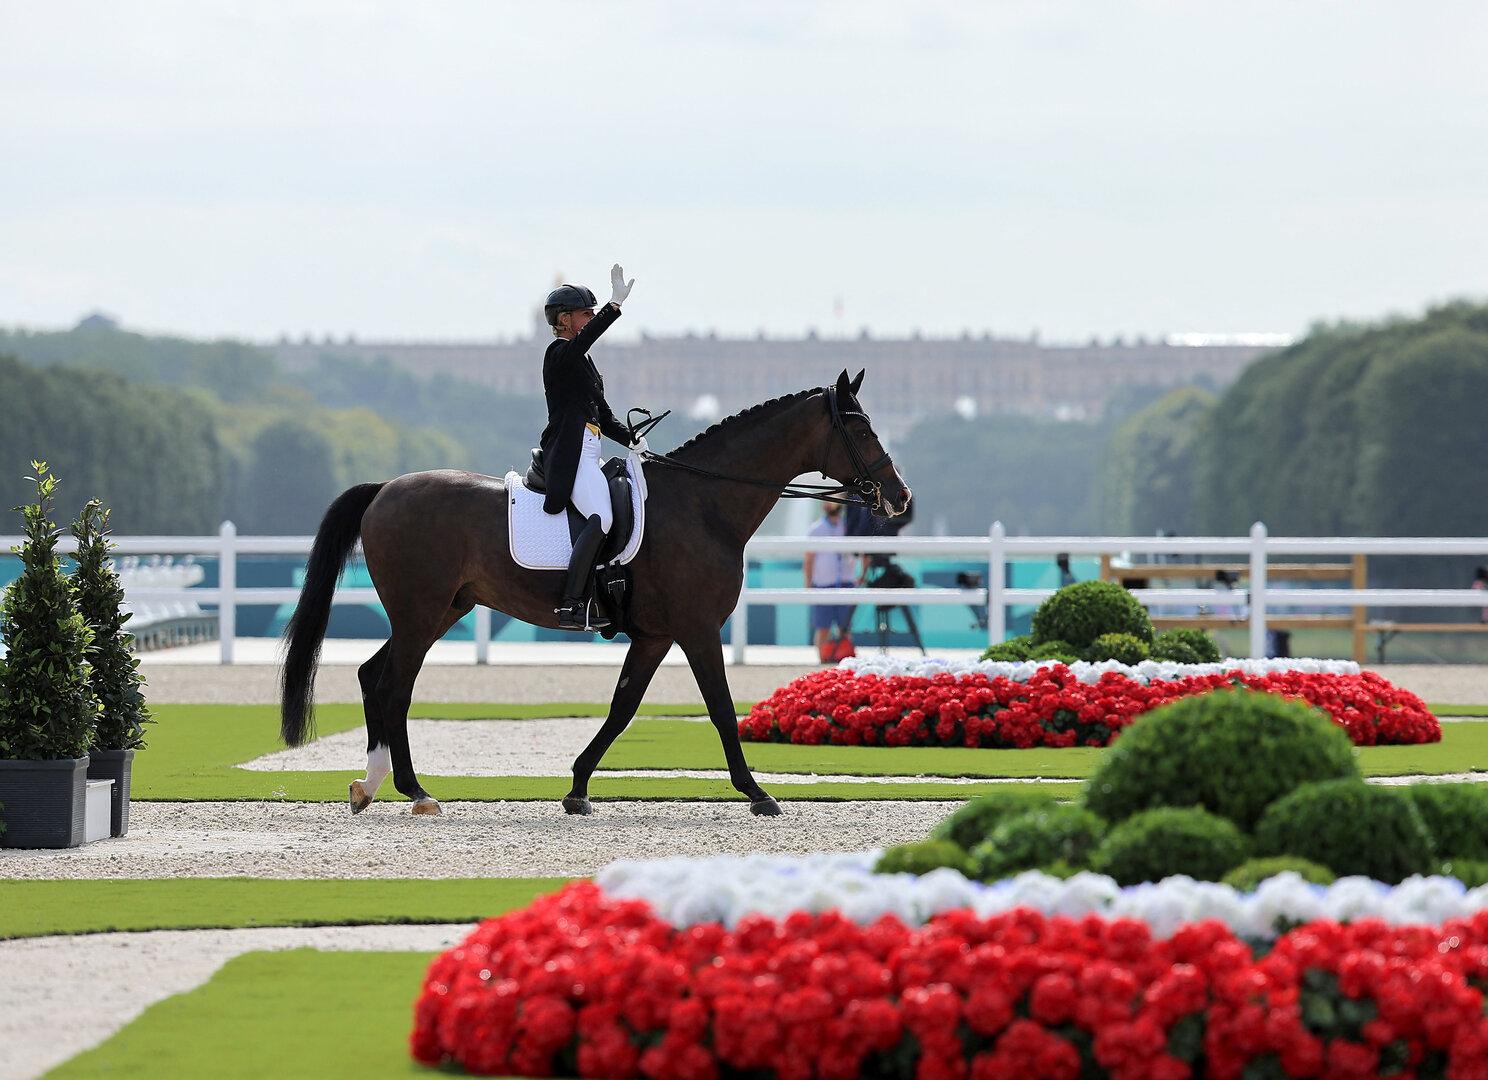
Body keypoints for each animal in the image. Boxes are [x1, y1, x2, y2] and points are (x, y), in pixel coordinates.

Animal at [276, 367, 904, 815]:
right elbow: (722, 709)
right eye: (862, 428)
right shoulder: (698, 630)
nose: (900, 497)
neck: (703, 506)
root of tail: (385, 489)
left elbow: (623, 706)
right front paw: (757, 793)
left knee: (375, 676)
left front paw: (578, 787)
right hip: (421, 612)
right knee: (393, 686)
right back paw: (412, 790)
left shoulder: (655, 636)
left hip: (439, 611)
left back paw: (374, 785)